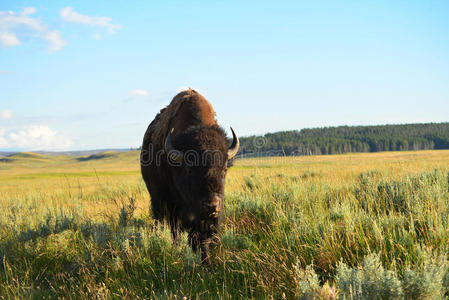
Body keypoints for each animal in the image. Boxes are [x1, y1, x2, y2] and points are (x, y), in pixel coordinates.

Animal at [140, 89, 238, 264]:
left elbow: (202, 238)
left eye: (224, 169)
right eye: (190, 170)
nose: (212, 205)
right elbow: (178, 233)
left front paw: (207, 261)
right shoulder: (173, 206)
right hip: (156, 200)